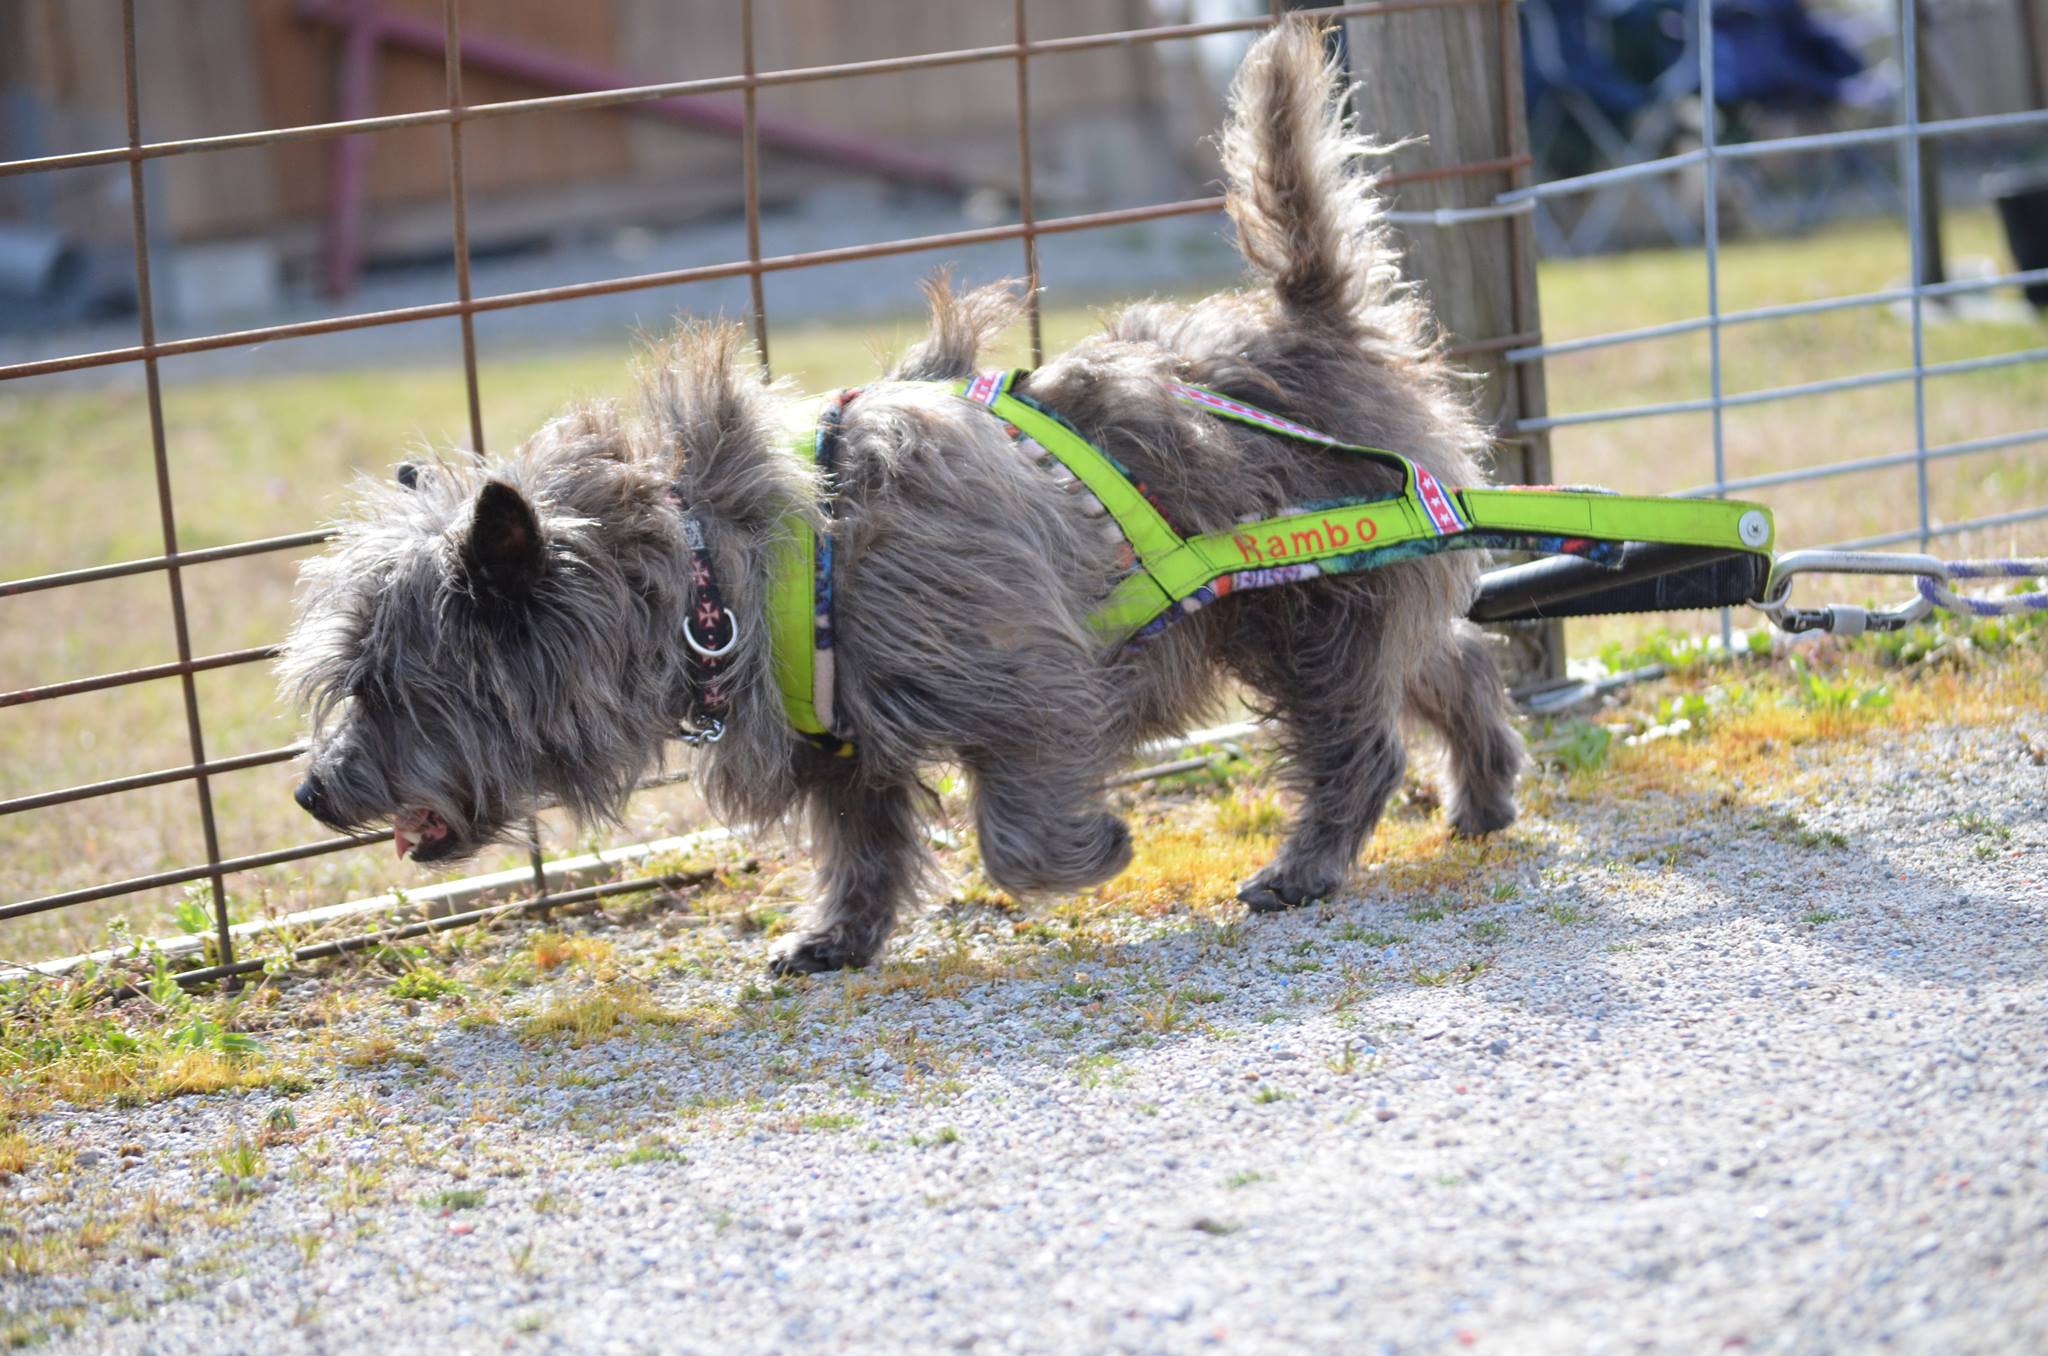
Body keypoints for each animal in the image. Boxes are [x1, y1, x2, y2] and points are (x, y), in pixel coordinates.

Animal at [284, 21, 1523, 979]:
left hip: (1299, 612)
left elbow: (1016, 829)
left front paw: (1093, 854)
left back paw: (1306, 862)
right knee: (1446, 658)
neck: (705, 567)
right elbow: (863, 845)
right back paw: (1481, 792)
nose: (309, 793)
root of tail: (1303, 317)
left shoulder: (1024, 682)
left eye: (390, 685)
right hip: (1335, 580)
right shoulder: (841, 745)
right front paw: (839, 936)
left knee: (1354, 736)